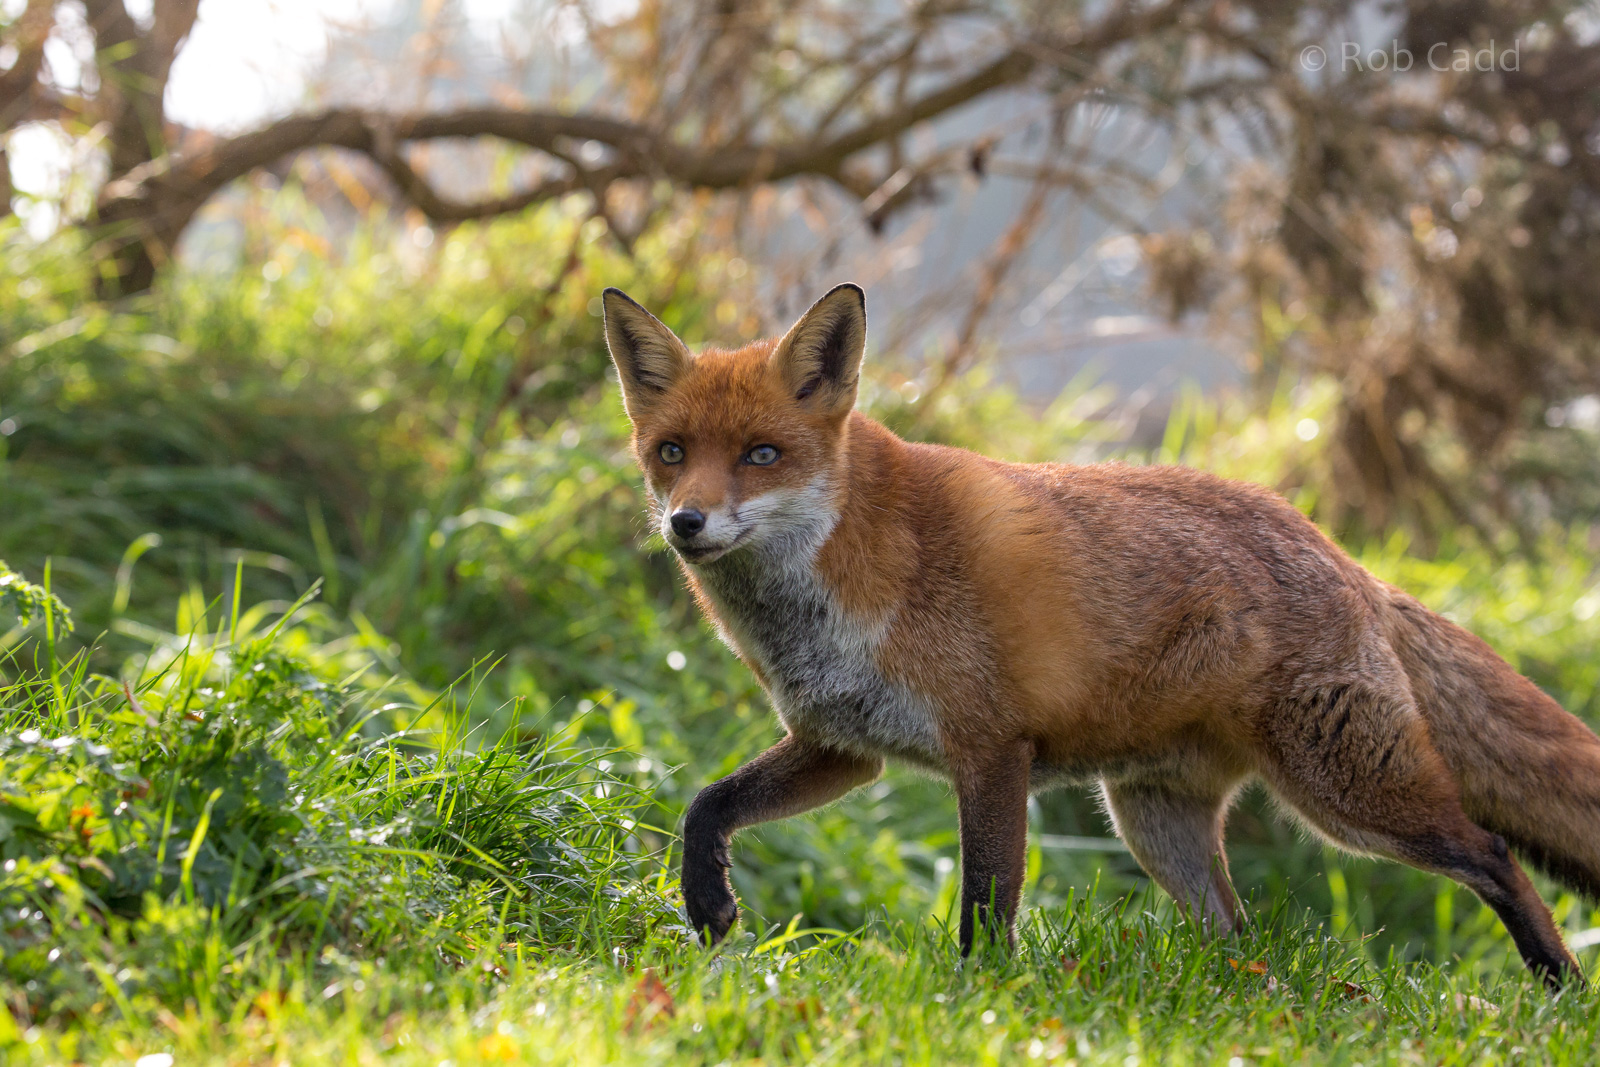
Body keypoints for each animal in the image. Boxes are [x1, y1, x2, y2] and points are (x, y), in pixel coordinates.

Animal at [601, 282, 1600, 987]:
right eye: (672, 452)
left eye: (763, 455)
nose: (686, 523)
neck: (836, 586)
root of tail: (1337, 551)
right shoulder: (842, 746)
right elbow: (706, 804)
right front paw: (707, 902)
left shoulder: (991, 749)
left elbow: (986, 903)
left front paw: (979, 997)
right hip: (1154, 820)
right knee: (1237, 931)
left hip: (1347, 791)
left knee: (1495, 855)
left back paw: (1558, 986)